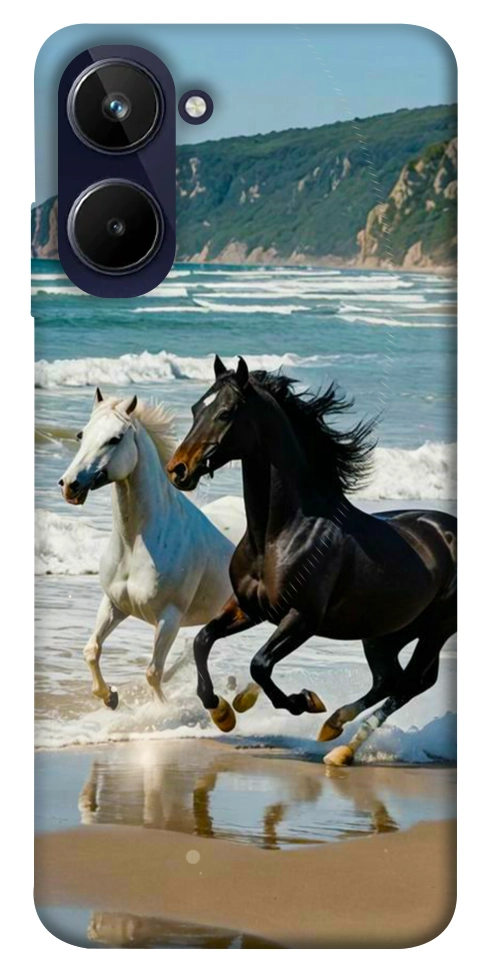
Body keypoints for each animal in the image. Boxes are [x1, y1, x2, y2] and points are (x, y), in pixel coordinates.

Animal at [59, 388, 234, 709]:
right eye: (81, 434)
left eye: (115, 438)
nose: (69, 485)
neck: (135, 544)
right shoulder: (114, 604)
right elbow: (91, 650)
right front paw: (110, 697)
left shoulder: (169, 618)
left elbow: (153, 672)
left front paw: (161, 711)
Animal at [166, 356, 457, 765]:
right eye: (196, 409)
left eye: (225, 413)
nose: (178, 469)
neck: (280, 534)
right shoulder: (248, 608)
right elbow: (202, 641)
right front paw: (222, 711)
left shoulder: (302, 618)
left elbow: (260, 664)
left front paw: (303, 701)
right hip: (385, 632)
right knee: (390, 679)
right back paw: (334, 728)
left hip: (435, 629)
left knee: (410, 683)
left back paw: (341, 746)